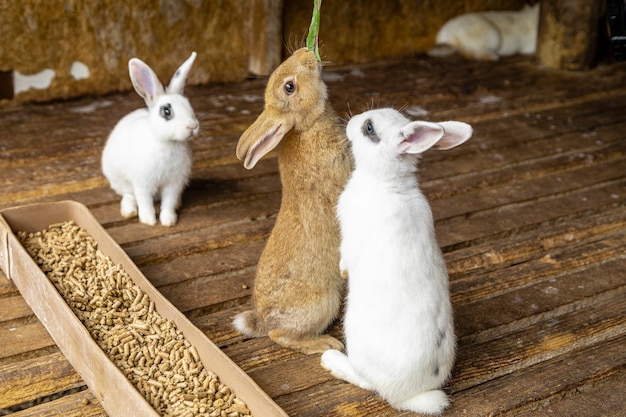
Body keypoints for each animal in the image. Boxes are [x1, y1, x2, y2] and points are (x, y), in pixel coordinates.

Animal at [101, 54, 197, 228]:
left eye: (189, 105)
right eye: (167, 111)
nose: (192, 126)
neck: (167, 142)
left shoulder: (174, 184)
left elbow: (168, 202)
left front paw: (168, 221)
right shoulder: (142, 182)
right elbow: (144, 201)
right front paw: (149, 221)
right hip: (119, 180)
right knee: (128, 195)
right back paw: (129, 211)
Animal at [233, 47, 354, 352]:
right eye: (290, 87)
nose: (306, 52)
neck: (305, 125)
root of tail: (264, 321)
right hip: (323, 302)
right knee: (282, 336)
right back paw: (326, 344)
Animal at [320, 107, 470, 412]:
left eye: (369, 129)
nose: (352, 121)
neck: (387, 184)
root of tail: (413, 393)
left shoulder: (350, 236)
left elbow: (345, 256)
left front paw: (343, 272)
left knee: (369, 384)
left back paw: (332, 361)